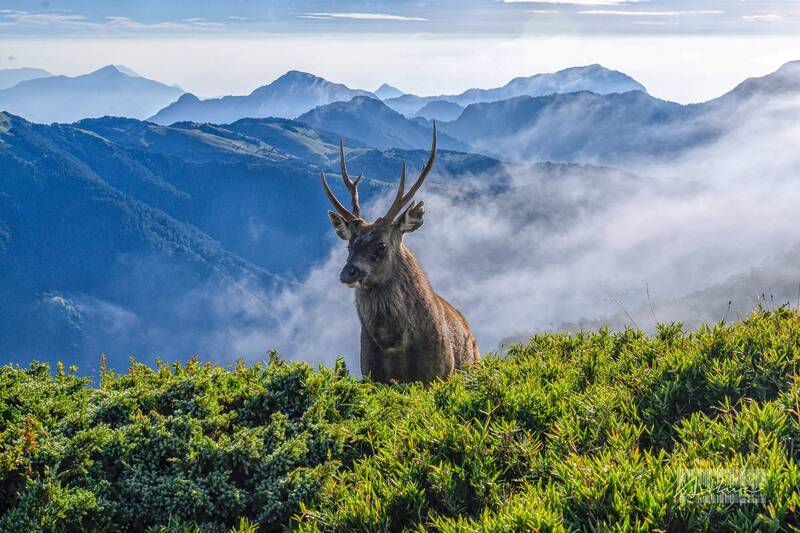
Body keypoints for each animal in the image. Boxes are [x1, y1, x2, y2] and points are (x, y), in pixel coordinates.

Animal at [320, 124, 482, 382]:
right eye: (349, 245)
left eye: (381, 245)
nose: (348, 273)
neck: (394, 345)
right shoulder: (372, 374)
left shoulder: (438, 374)